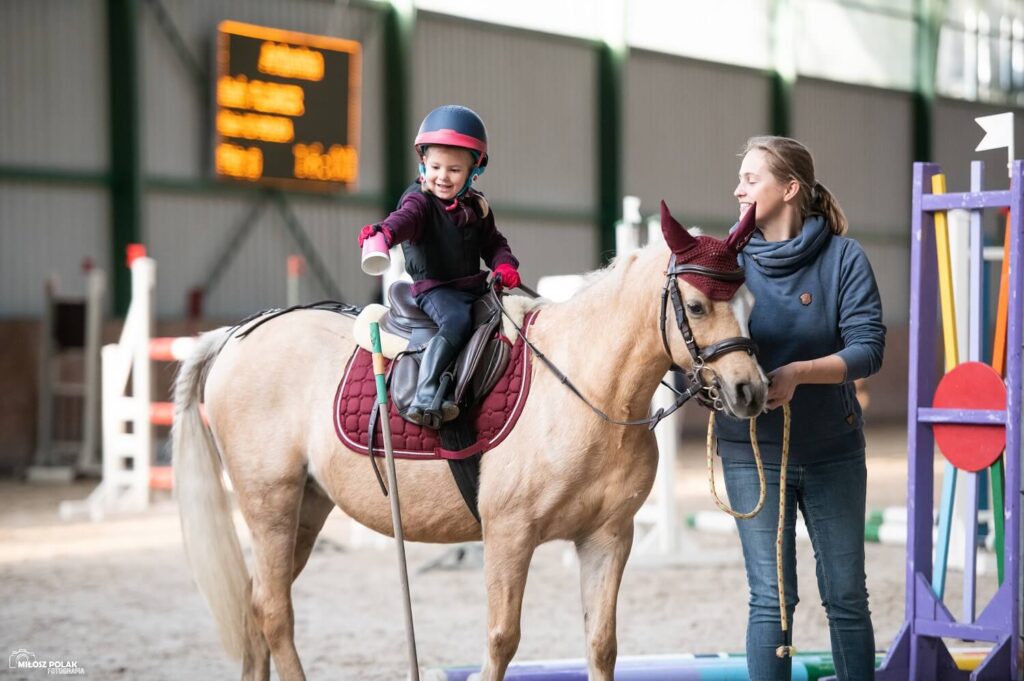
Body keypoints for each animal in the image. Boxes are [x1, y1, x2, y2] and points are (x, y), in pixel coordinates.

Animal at [174, 202, 770, 679]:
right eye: (696, 306)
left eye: (750, 304)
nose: (750, 390)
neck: (587, 387)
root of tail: (235, 335)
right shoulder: (509, 534)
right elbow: (501, 640)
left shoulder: (607, 537)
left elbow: (601, 645)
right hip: (270, 503)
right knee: (275, 614)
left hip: (306, 507)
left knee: (257, 609)